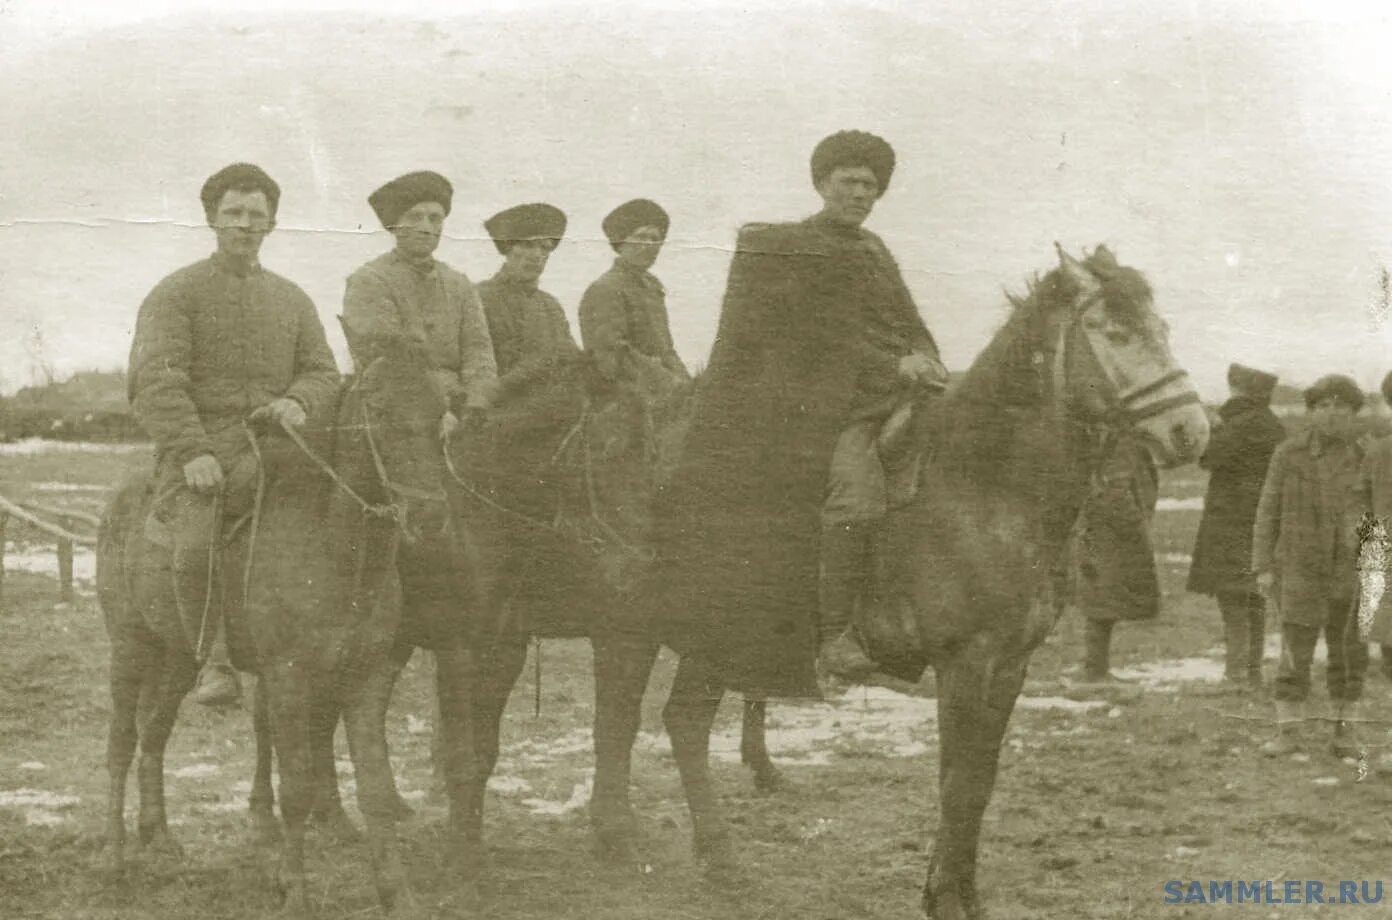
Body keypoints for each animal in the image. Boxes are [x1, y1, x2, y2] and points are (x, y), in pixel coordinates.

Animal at [98, 331, 484, 918]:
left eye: (441, 410)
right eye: (378, 409)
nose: (429, 517)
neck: (333, 551)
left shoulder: (364, 680)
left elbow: (375, 787)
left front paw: (396, 891)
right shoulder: (288, 680)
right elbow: (297, 786)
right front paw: (295, 891)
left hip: (178, 657)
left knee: (153, 734)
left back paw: (159, 837)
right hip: (130, 648)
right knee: (121, 743)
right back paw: (117, 860)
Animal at [648, 246, 1208, 918]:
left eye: (1163, 329)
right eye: (1114, 334)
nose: (1191, 432)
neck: (987, 484)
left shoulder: (1010, 665)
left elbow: (978, 781)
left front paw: (964, 891)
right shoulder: (963, 662)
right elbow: (955, 780)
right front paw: (944, 897)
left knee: (686, 720)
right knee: (681, 722)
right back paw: (707, 855)